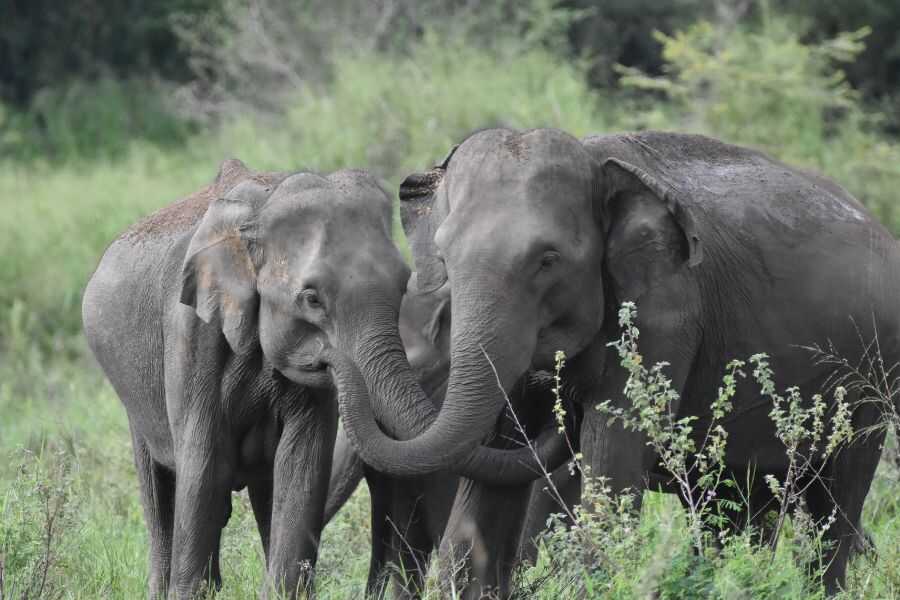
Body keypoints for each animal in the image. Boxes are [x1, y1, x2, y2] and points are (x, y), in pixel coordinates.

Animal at [82, 159, 561, 599]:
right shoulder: (191, 333)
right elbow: (203, 462)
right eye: (311, 298)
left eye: (402, 284)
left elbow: (303, 465)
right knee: (163, 487)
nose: (327, 358)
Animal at [333, 128, 900, 596]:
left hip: (872, 376)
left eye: (548, 260)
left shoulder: (664, 310)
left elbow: (612, 463)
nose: (563, 397)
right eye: (446, 259)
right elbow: (494, 469)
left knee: (838, 498)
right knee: (731, 501)